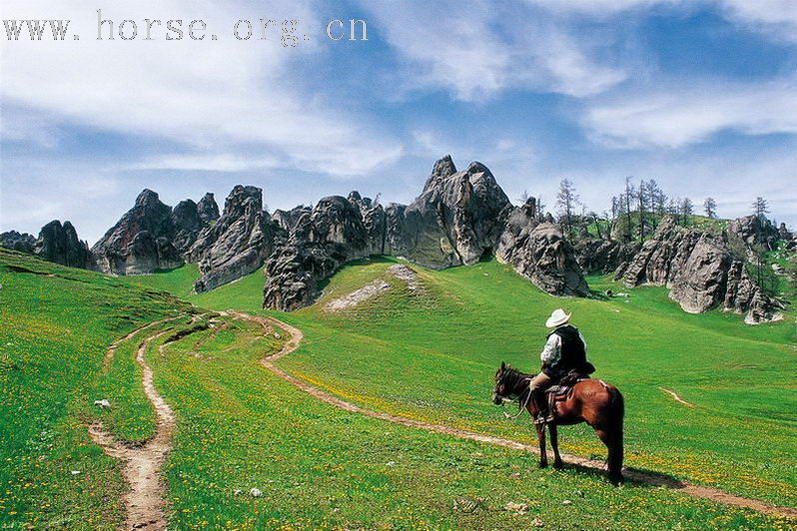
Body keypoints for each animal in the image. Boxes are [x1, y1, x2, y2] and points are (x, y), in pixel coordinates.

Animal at [488, 362, 624, 486]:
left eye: (497, 380)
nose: (495, 398)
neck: (528, 389)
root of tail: (607, 387)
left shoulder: (538, 420)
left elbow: (542, 441)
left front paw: (543, 463)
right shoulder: (551, 422)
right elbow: (554, 442)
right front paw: (557, 463)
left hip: (601, 429)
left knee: (613, 448)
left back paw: (612, 476)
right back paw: (617, 475)